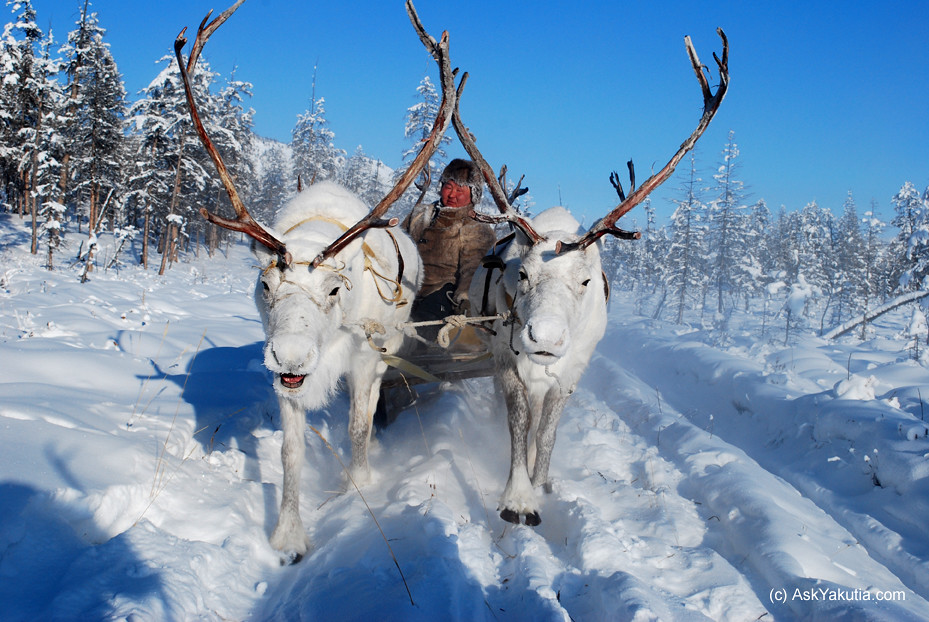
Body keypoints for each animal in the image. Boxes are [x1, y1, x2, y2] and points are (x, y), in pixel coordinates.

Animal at [174, 0, 460, 563]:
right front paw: (288, 536)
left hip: (390, 347)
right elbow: (290, 453)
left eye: (333, 289)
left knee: (370, 406)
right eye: (265, 286)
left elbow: (356, 426)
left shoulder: (365, 356)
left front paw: (355, 488)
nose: (290, 356)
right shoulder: (287, 384)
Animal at [449, 29, 730, 526]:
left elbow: (547, 433)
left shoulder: (572, 370)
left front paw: (542, 484)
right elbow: (519, 424)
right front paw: (518, 497)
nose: (544, 337)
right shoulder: (505, 360)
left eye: (585, 282)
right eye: (521, 274)